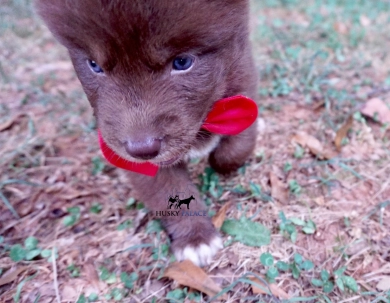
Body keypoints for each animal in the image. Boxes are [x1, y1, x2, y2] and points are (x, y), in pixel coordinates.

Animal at [35, 0, 258, 266]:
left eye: (182, 62)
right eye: (94, 65)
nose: (142, 149)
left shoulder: (242, 74)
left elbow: (237, 144)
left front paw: (221, 157)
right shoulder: (120, 144)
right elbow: (166, 190)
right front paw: (195, 237)